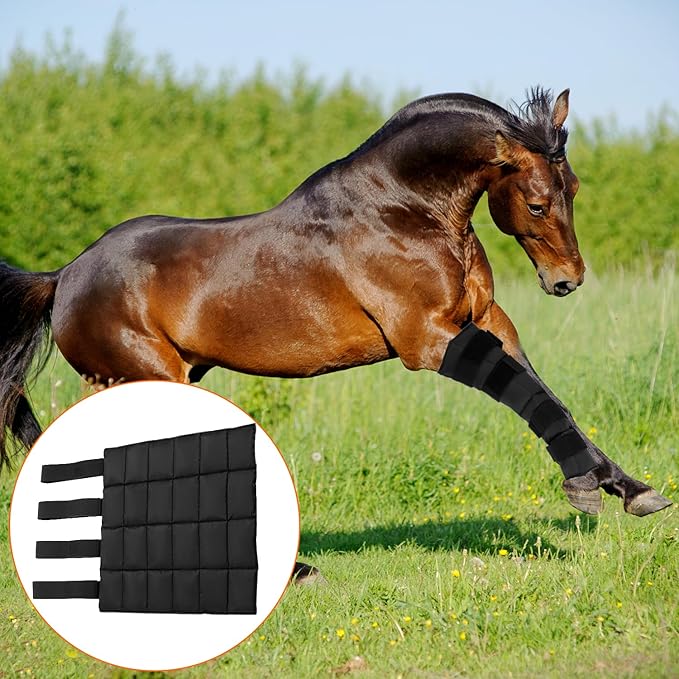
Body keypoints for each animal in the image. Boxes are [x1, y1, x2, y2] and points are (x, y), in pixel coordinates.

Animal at [0, 87, 671, 524]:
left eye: (574, 188)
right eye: (535, 203)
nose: (567, 281)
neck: (403, 209)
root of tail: (65, 276)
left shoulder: (486, 321)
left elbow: (546, 395)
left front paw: (630, 488)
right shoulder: (428, 339)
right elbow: (528, 395)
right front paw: (585, 486)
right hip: (149, 374)